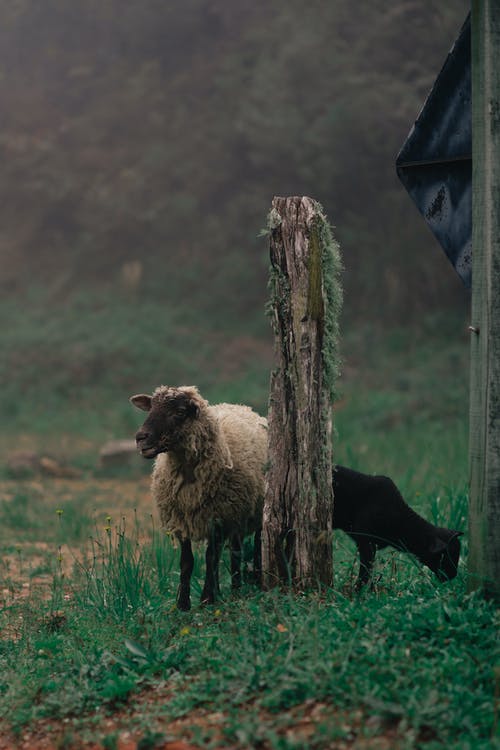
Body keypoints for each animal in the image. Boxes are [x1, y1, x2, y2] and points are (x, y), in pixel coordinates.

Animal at [131, 388, 268, 612]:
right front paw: (183, 604)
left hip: (251, 512)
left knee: (251, 547)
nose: (141, 438)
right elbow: (187, 562)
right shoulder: (182, 519)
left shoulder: (218, 517)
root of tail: (240, 406)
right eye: (150, 408)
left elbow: (210, 558)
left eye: (179, 412)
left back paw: (245, 585)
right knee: (234, 551)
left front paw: (207, 599)